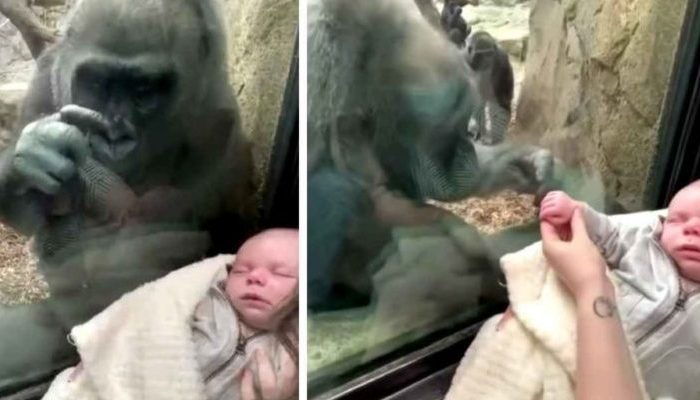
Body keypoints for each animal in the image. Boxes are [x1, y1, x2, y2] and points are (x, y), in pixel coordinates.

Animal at [0, 0, 258, 326]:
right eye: (97, 83)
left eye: (143, 90)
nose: (114, 134)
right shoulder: (47, 74)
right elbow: (26, 214)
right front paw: (37, 151)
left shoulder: (218, 122)